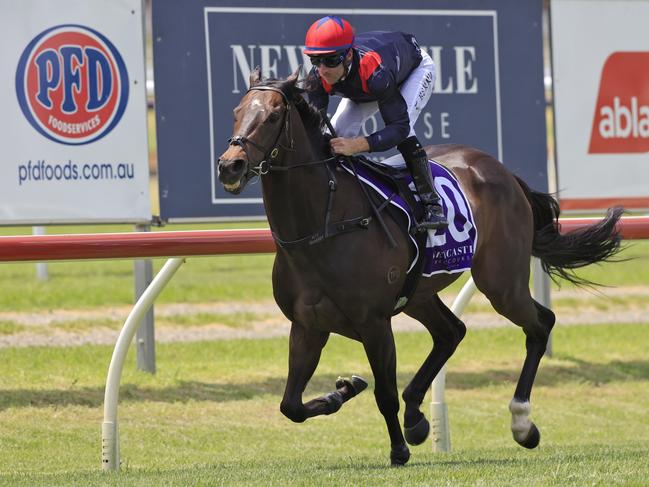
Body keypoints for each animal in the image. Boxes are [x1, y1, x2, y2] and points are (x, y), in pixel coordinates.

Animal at [218, 68, 624, 466]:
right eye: (236, 111)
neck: (322, 227)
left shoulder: (374, 324)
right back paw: (417, 416)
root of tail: (504, 173)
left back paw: (521, 422)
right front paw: (344, 390)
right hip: (419, 293)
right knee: (452, 332)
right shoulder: (307, 326)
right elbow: (291, 405)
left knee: (540, 325)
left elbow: (383, 393)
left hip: (500, 282)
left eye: (273, 116)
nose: (230, 165)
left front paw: (398, 450)